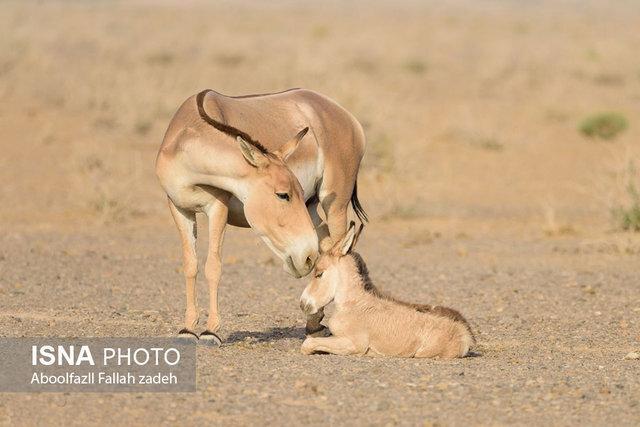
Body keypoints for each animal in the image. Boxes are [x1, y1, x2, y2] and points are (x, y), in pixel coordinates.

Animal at [298, 224, 472, 362]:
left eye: (319, 274)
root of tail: (466, 333)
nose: (303, 304)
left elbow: (307, 344)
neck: (355, 304)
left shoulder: (353, 343)